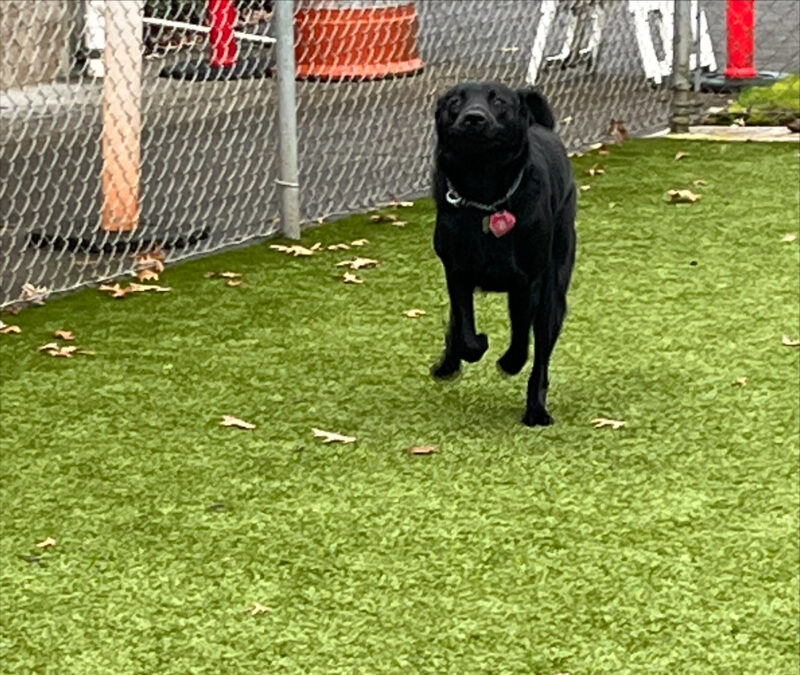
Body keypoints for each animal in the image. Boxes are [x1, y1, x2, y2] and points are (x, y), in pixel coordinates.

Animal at [432, 82, 576, 426]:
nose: (473, 117)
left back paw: (536, 411)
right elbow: (465, 330)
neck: (486, 197)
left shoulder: (529, 281)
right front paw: (473, 346)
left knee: (540, 360)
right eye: (455, 101)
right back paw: (448, 364)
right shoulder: (456, 272)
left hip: (554, 294)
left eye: (498, 101)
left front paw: (510, 363)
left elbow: (522, 339)